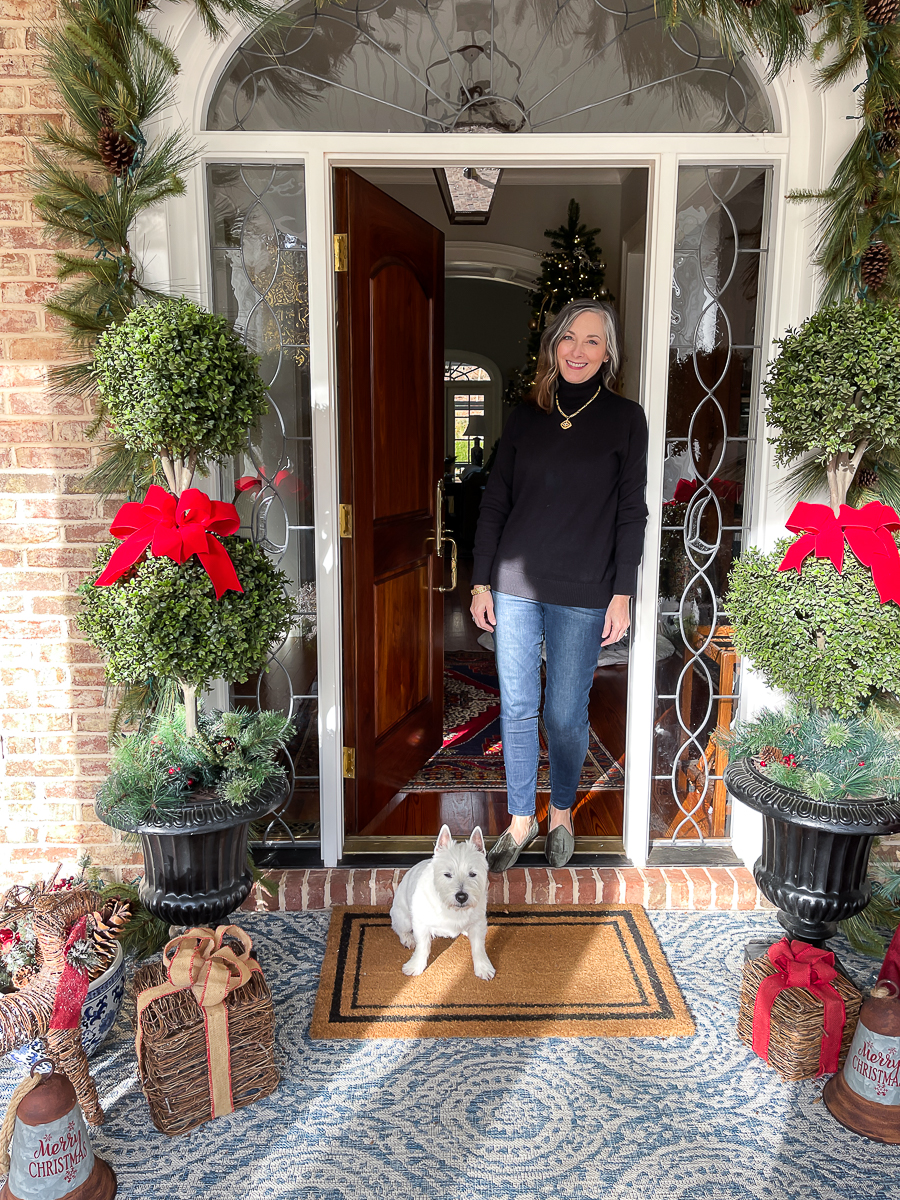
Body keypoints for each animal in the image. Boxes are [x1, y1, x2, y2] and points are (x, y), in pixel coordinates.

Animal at [391, 825, 496, 984]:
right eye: (447, 874)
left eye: (472, 874)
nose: (461, 896)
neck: (451, 909)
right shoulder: (421, 924)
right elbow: (422, 946)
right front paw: (415, 966)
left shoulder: (478, 922)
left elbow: (478, 946)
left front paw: (483, 968)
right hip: (404, 917)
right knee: (398, 927)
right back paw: (408, 939)